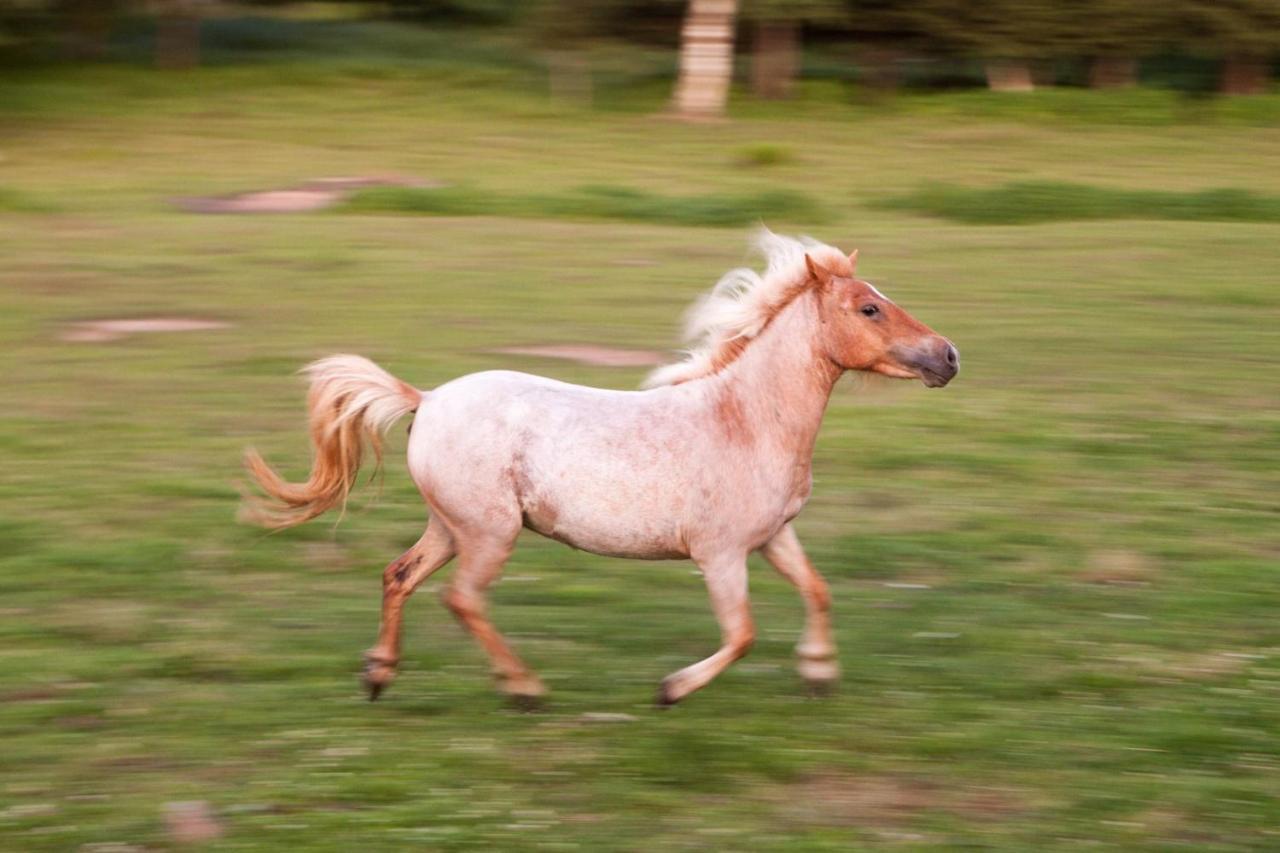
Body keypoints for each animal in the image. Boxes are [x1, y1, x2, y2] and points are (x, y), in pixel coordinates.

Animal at [244, 233, 957, 701]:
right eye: (869, 308)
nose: (949, 356)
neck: (747, 419)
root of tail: (428, 398)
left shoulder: (775, 536)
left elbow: (818, 591)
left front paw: (818, 673)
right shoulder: (721, 553)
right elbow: (744, 633)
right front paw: (672, 688)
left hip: (451, 527)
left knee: (400, 576)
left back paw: (379, 674)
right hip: (489, 532)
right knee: (461, 598)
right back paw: (524, 688)